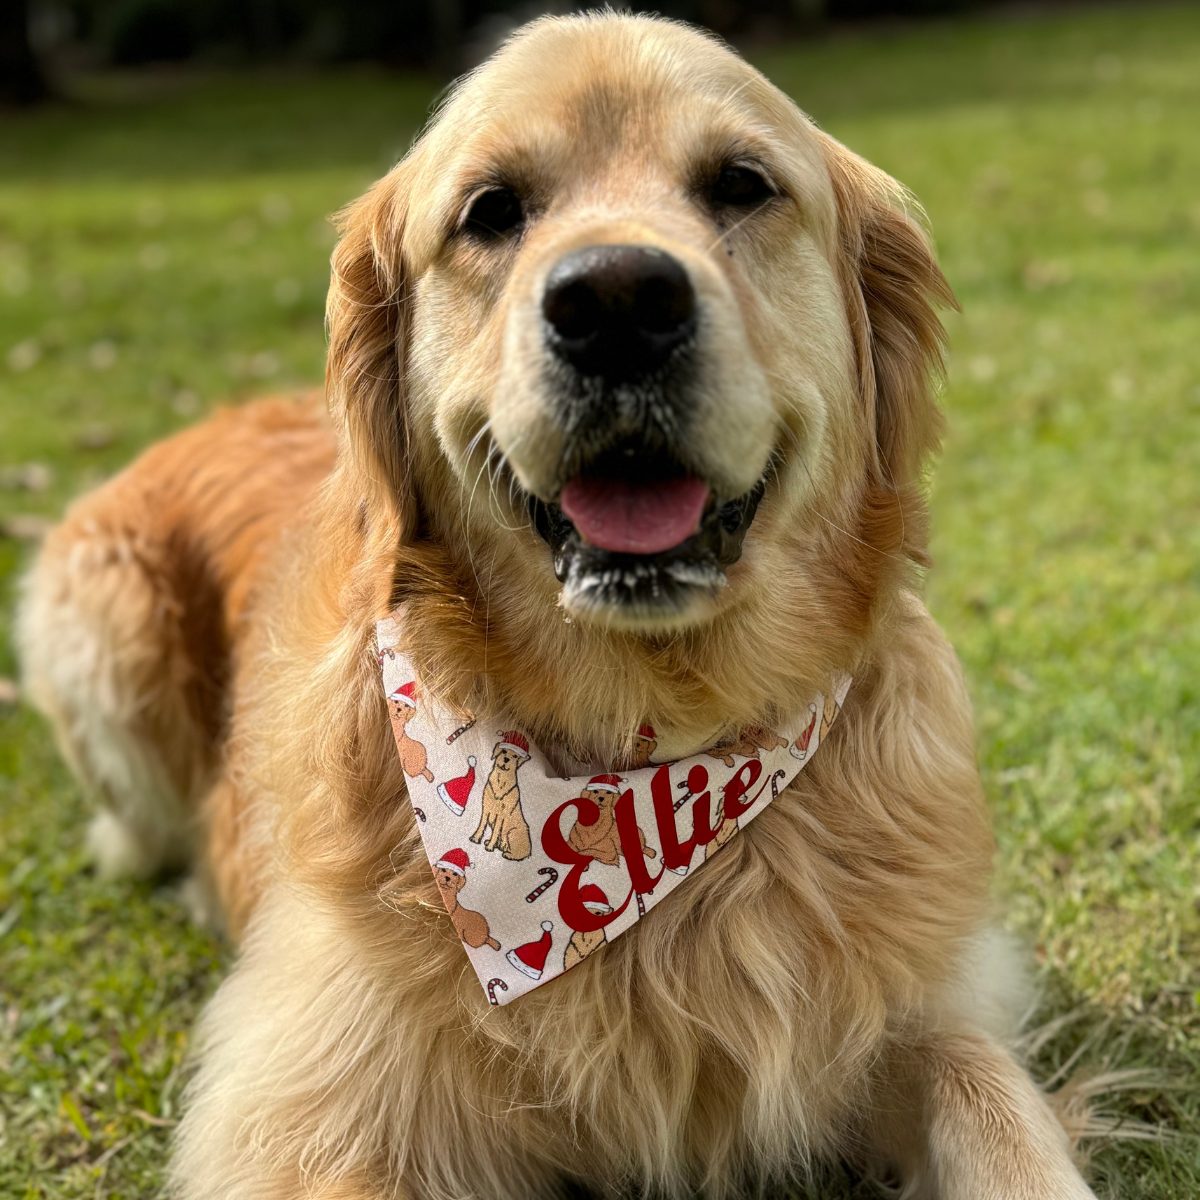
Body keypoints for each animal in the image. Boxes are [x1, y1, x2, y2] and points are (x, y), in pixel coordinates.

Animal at [14, 11, 1099, 1200]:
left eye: (742, 184)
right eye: (492, 209)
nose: (618, 301)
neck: (648, 745)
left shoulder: (922, 999)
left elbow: (991, 1103)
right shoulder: (305, 1105)